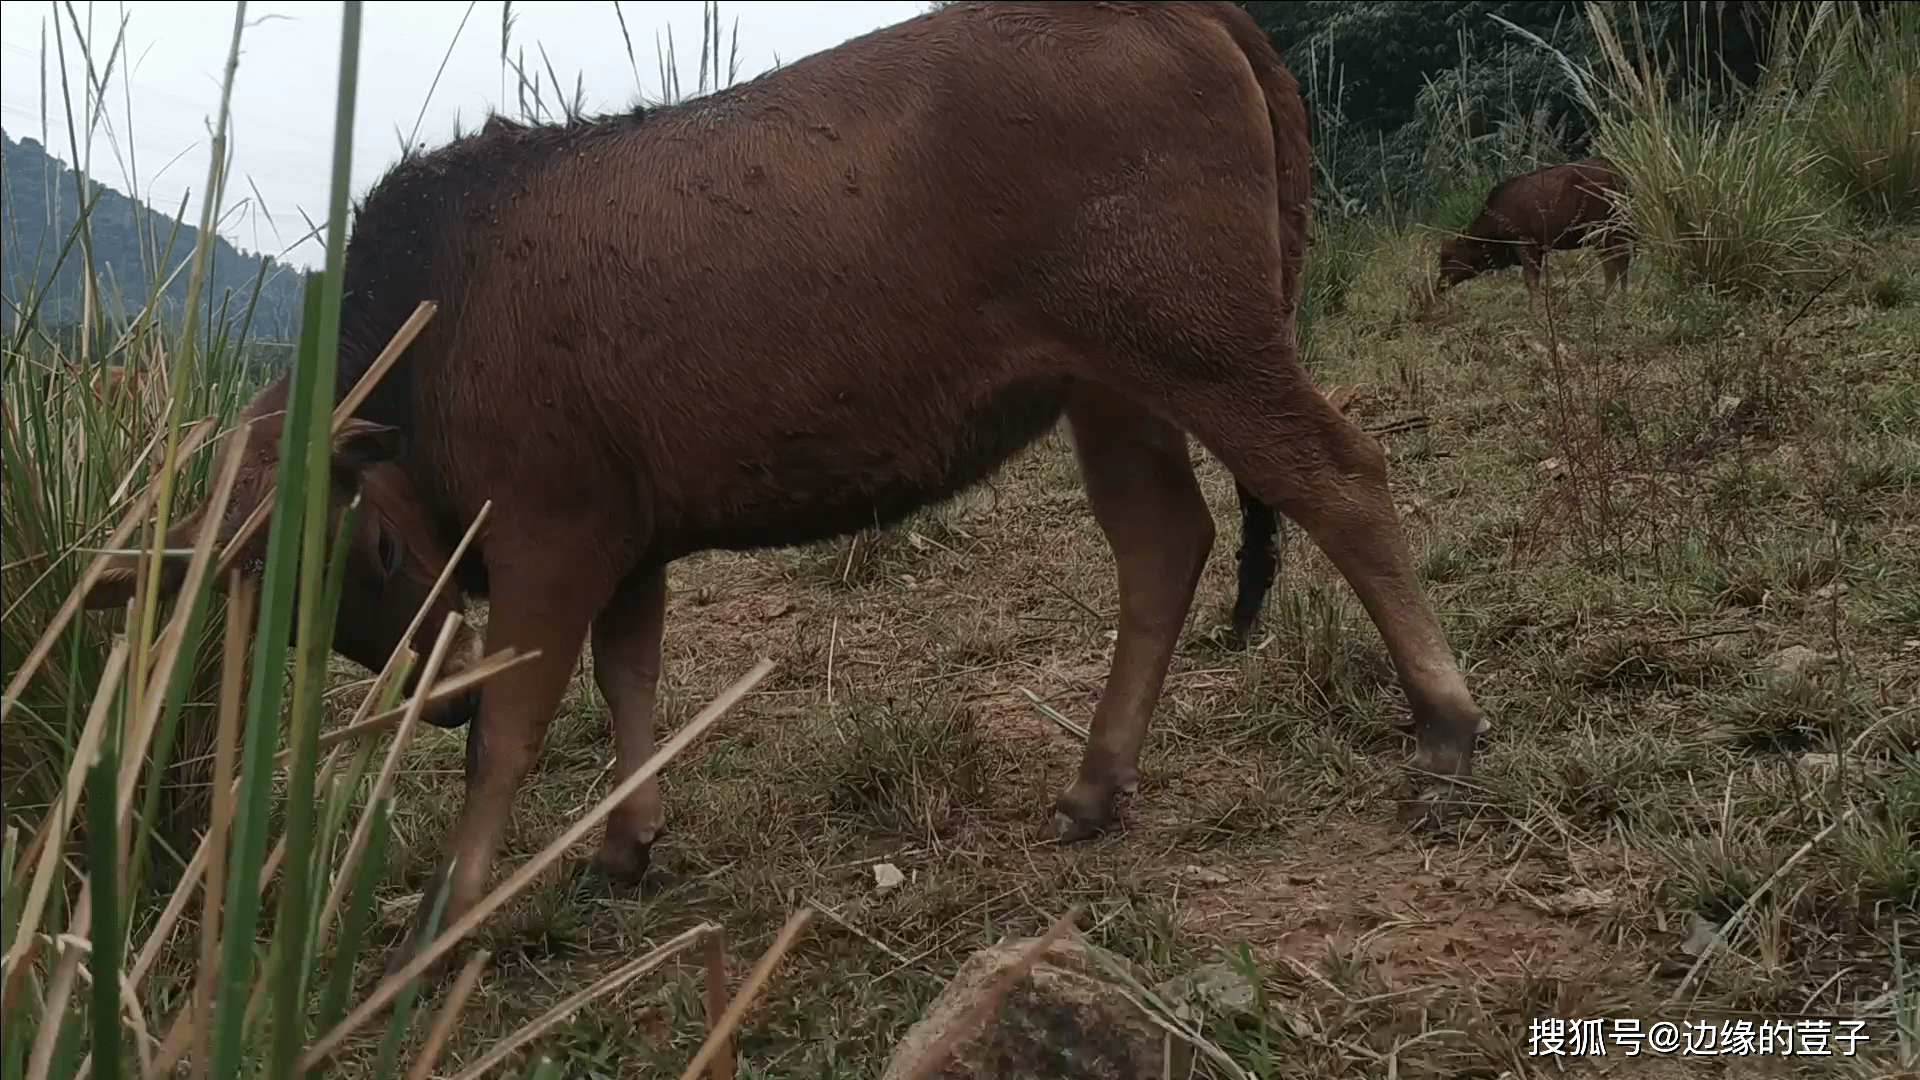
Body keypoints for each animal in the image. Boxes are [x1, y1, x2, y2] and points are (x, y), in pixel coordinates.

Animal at [90, 0, 1489, 957]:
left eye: (359, 551)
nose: (424, 697)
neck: (430, 319)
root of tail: (1177, 10)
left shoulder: (553, 530)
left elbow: (515, 726)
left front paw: (454, 901)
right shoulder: (629, 541)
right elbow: (630, 681)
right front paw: (626, 843)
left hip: (1205, 345)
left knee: (1343, 480)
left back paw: (1446, 720)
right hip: (1116, 385)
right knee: (1164, 542)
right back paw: (1094, 786)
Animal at [1436, 156, 1628, 297]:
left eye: (1448, 255)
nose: (1440, 285)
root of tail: (1618, 175)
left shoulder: (1525, 242)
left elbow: (1531, 281)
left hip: (1599, 230)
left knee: (1611, 265)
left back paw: (1605, 300)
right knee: (1623, 261)